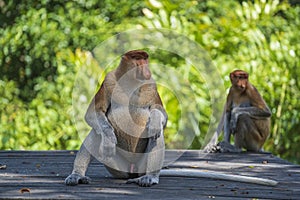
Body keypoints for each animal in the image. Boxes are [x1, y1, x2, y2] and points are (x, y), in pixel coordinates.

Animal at [65, 54, 276, 187]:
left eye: (146, 60)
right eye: (138, 60)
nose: (147, 69)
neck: (131, 82)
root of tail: (132, 171)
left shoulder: (151, 84)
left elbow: (160, 114)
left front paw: (155, 120)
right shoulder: (109, 80)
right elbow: (93, 113)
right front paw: (109, 139)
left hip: (140, 164)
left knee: (156, 137)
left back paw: (149, 178)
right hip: (116, 167)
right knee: (96, 132)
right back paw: (77, 176)